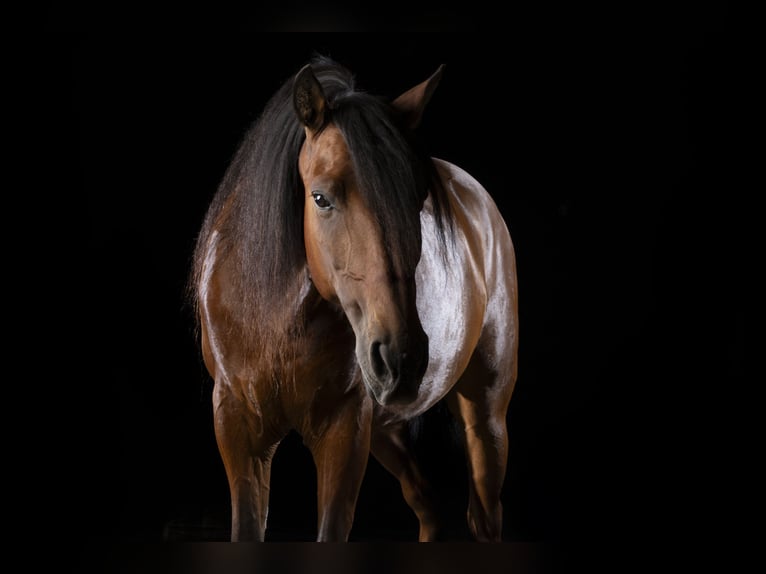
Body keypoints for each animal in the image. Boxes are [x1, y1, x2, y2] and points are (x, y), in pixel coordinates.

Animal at [190, 55, 518, 542]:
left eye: (417, 199)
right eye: (320, 197)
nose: (403, 357)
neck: (273, 322)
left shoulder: (344, 431)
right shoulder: (237, 430)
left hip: (485, 415)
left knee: (484, 515)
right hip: (386, 430)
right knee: (427, 505)